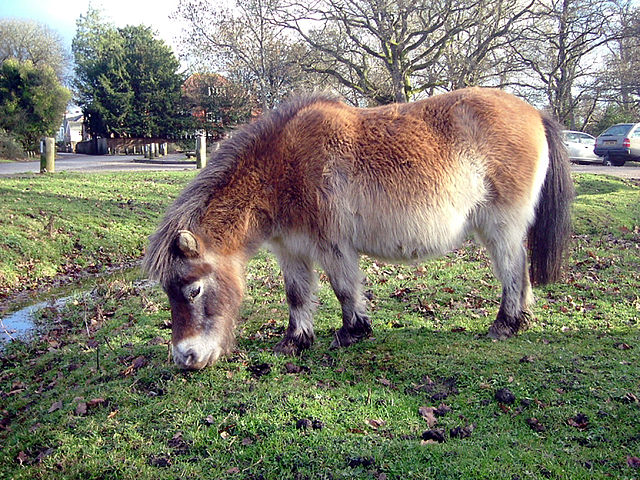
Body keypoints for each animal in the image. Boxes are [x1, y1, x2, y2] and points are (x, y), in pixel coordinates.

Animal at [144, 87, 574, 370]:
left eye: (194, 289)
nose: (185, 358)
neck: (281, 168)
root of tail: (535, 113)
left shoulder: (332, 245)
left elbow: (344, 288)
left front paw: (352, 332)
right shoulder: (290, 249)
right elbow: (297, 295)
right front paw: (295, 342)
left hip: (500, 226)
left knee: (513, 269)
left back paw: (504, 324)